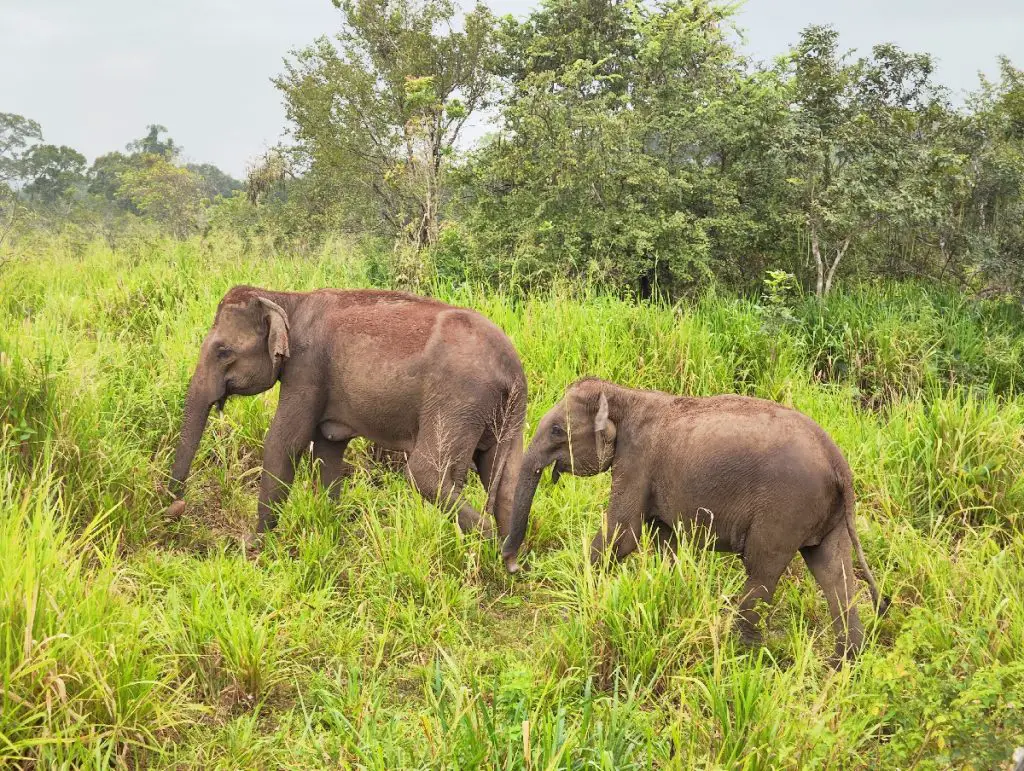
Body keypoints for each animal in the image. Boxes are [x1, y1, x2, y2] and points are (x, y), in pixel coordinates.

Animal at [167, 282, 528, 565]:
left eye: (223, 351)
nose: (175, 508)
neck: (286, 299)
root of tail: (511, 367)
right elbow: (329, 449)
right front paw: (330, 530)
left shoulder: (307, 369)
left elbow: (284, 443)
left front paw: (255, 546)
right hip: (506, 415)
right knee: (507, 481)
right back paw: (508, 560)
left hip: (457, 400)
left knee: (426, 474)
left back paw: (483, 551)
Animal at [507, 376, 892, 659]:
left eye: (557, 431)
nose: (514, 566)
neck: (624, 394)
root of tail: (838, 460)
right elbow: (664, 541)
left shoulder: (637, 462)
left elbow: (623, 534)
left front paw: (572, 609)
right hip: (825, 514)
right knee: (833, 572)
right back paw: (843, 664)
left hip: (786, 508)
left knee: (762, 570)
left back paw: (744, 656)